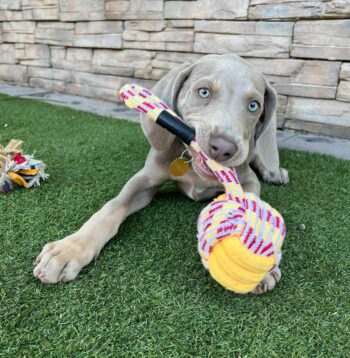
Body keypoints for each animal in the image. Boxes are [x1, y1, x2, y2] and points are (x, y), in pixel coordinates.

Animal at [34, 53, 288, 294]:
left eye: (254, 106)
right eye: (203, 92)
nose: (223, 148)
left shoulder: (247, 179)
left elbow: (252, 201)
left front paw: (264, 265)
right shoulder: (144, 180)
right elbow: (112, 207)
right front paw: (69, 249)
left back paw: (276, 172)